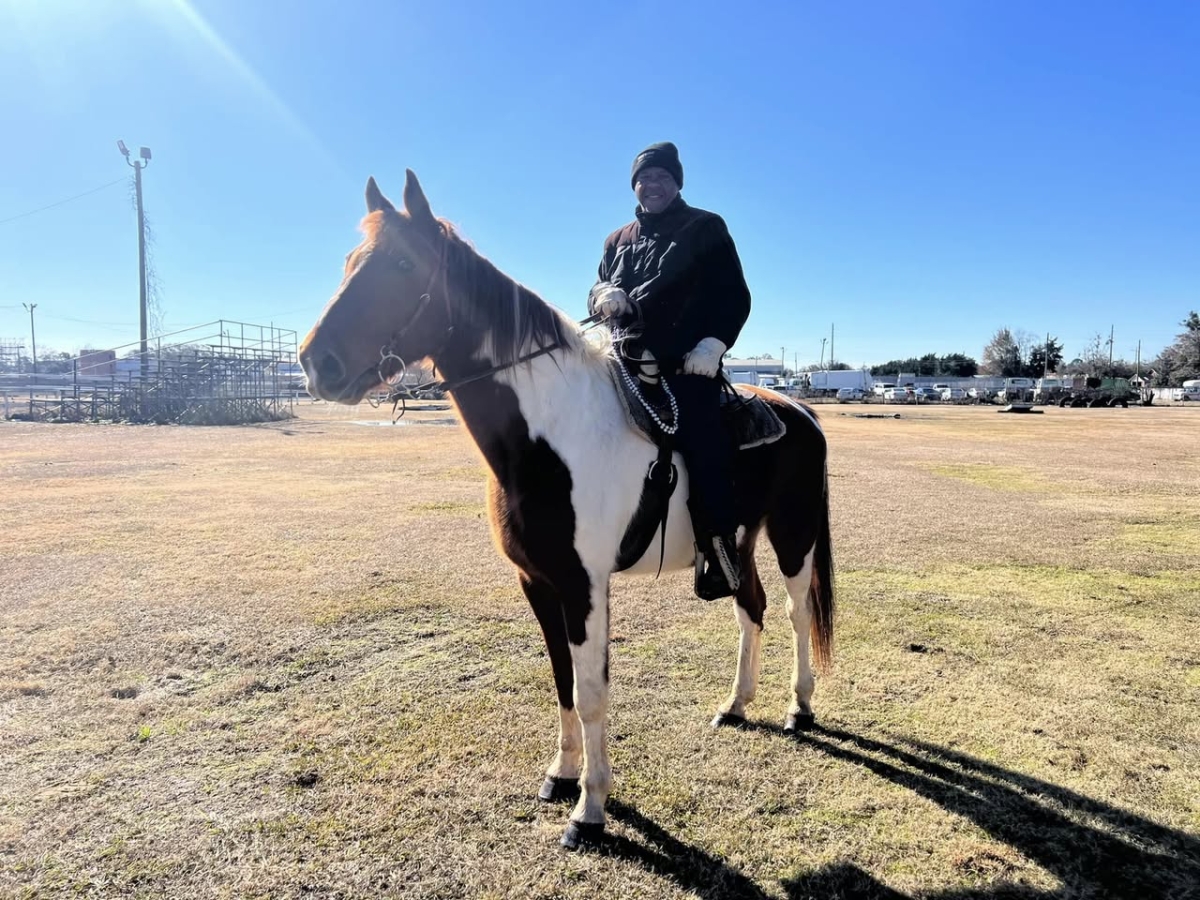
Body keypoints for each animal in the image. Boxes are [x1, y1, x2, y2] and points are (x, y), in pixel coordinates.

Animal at [298, 171, 835, 849]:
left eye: (400, 263)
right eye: (350, 261)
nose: (316, 362)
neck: (549, 435)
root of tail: (801, 412)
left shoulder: (585, 586)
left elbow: (592, 691)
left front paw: (591, 808)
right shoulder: (538, 582)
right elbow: (562, 682)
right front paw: (561, 775)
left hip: (793, 534)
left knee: (796, 611)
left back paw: (799, 707)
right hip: (734, 541)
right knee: (752, 608)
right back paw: (736, 705)